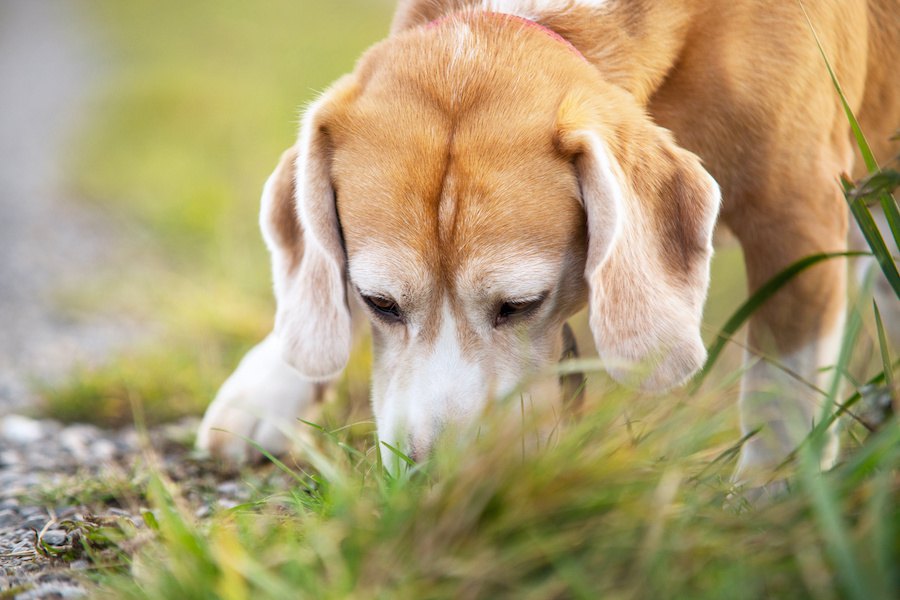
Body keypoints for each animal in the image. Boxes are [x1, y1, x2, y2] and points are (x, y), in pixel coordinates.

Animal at [197, 0, 900, 486]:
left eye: (521, 305)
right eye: (379, 303)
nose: (437, 474)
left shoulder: (798, 214)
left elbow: (780, 389)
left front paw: (766, 499)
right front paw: (273, 380)